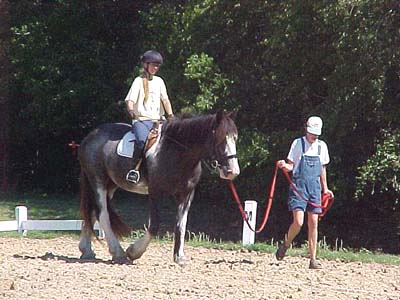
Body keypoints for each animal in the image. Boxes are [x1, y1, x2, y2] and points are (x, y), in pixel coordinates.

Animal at [79, 109, 239, 264]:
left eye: (235, 138)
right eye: (221, 138)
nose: (233, 171)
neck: (178, 152)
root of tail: (91, 135)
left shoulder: (186, 194)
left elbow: (181, 224)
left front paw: (179, 257)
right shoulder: (156, 191)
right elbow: (154, 225)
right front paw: (134, 252)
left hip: (111, 186)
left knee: (92, 212)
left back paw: (86, 251)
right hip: (98, 181)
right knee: (102, 214)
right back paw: (118, 253)